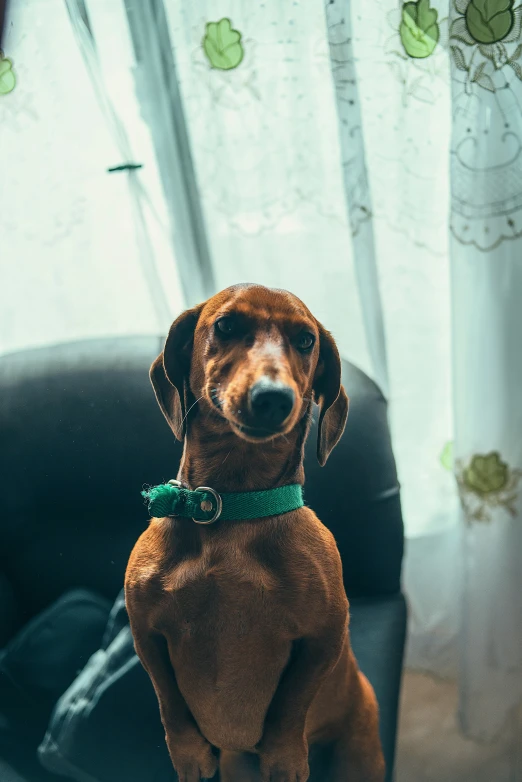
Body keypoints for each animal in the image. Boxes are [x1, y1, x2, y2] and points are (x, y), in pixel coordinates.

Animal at [124, 284, 384, 780]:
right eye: (226, 325)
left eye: (305, 340)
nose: (272, 398)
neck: (229, 515)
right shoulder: (145, 631)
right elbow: (169, 702)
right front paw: (189, 753)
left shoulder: (325, 635)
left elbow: (292, 705)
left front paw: (284, 757)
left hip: (359, 752)